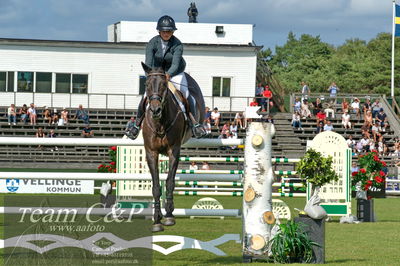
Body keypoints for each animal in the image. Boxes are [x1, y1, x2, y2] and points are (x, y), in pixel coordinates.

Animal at [141, 61, 205, 231]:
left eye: (163, 85)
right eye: (146, 85)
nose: (155, 110)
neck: (160, 122)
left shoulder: (174, 151)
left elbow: (170, 182)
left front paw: (169, 215)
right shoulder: (151, 152)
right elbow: (156, 186)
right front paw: (157, 220)